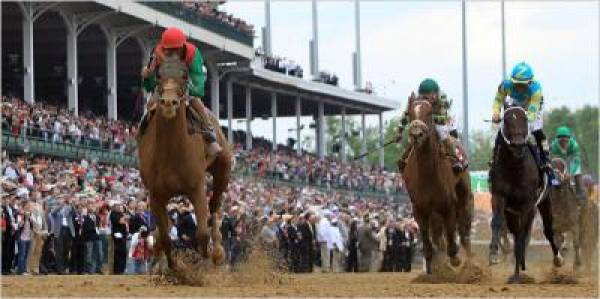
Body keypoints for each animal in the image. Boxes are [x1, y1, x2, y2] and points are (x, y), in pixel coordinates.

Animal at [137, 56, 231, 270]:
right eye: (159, 75)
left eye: (184, 76)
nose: (168, 103)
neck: (171, 152)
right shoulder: (156, 194)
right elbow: (164, 237)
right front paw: (172, 268)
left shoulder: (196, 188)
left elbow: (202, 233)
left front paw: (205, 266)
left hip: (223, 168)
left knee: (214, 206)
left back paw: (218, 251)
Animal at [404, 94, 474, 276]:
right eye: (410, 113)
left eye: (429, 113)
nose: (417, 134)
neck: (428, 174)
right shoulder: (419, 209)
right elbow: (427, 242)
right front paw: (433, 266)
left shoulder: (448, 205)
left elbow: (451, 237)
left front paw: (455, 259)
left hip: (464, 195)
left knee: (464, 230)